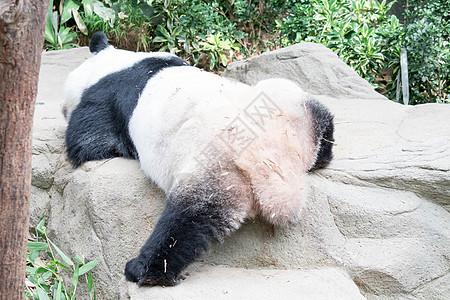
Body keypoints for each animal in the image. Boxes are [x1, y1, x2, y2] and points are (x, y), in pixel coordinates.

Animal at [61, 31, 332, 288]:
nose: (63, 110)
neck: (113, 64)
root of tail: (275, 162)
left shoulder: (107, 100)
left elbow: (86, 139)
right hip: (289, 108)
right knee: (317, 111)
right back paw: (323, 153)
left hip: (216, 172)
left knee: (187, 220)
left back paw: (145, 269)